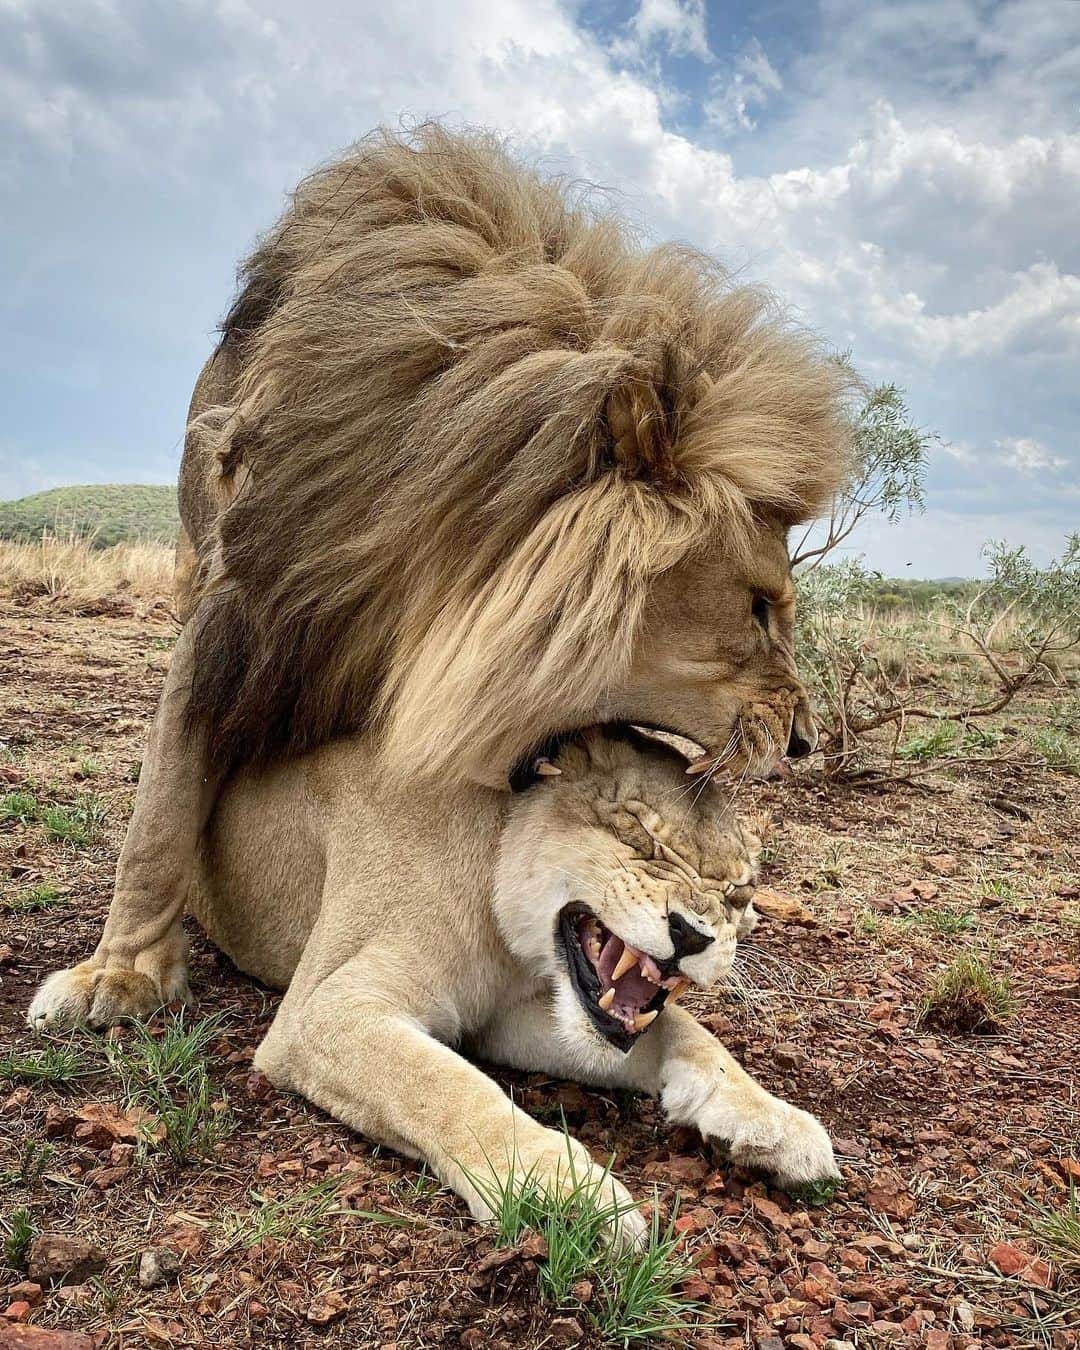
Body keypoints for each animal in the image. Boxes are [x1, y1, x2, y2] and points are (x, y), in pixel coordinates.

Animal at [29, 126, 847, 1171]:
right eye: (759, 608)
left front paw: (768, 1116)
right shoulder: (246, 624)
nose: (803, 741)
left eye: (742, 896)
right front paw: (118, 975)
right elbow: (165, 812)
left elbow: (682, 1031)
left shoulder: (528, 1014)